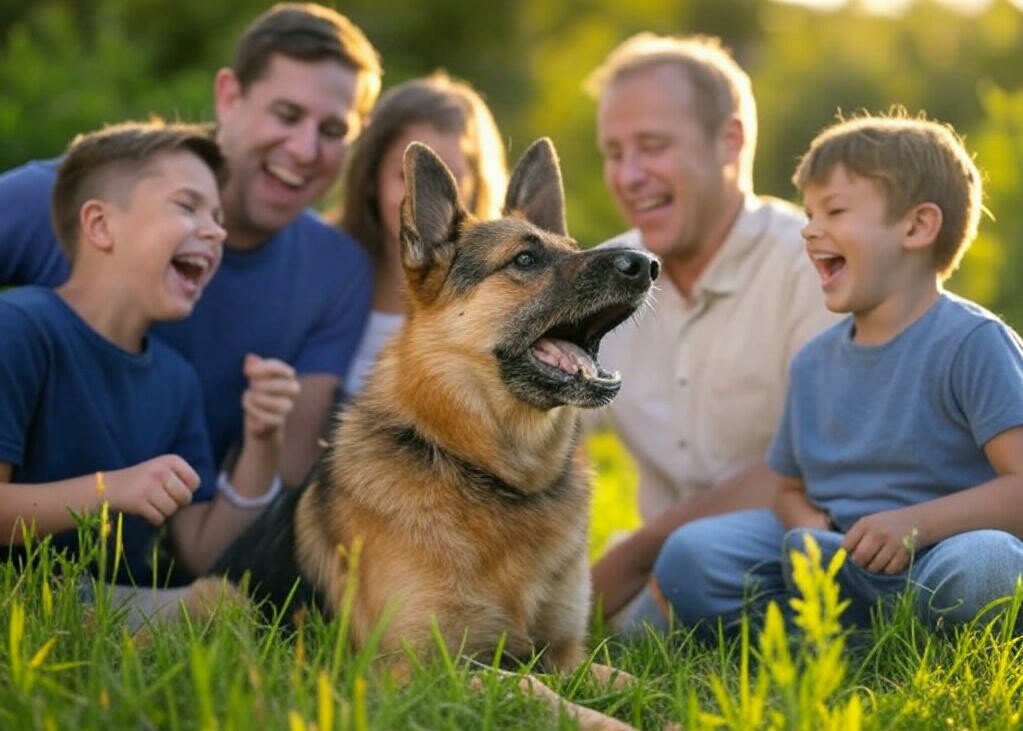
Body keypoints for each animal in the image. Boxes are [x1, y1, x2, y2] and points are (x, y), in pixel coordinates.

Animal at [197, 138, 658, 728]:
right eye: (525, 259)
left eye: (572, 247)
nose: (647, 264)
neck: (490, 473)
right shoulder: (417, 669)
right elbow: (531, 687)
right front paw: (608, 720)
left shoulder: (565, 654)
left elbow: (633, 680)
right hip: (221, 597)